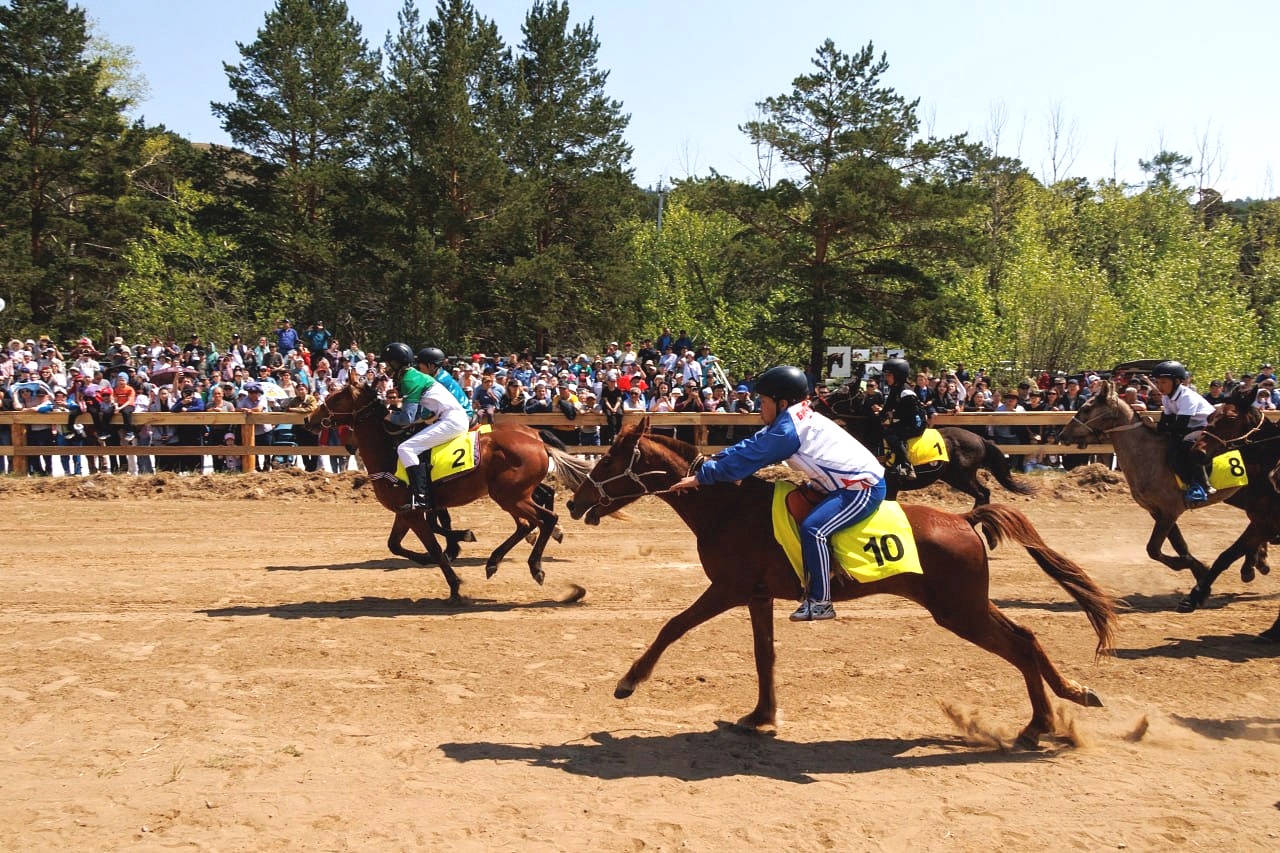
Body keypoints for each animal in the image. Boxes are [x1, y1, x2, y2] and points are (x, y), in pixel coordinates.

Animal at [565, 417, 1116, 742]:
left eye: (609, 459)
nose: (574, 501)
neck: (726, 506)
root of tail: (963, 519)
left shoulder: (728, 589)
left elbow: (672, 627)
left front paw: (629, 681)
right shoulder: (757, 597)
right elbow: (764, 656)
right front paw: (761, 716)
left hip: (959, 610)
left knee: (1019, 645)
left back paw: (1041, 722)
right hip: (967, 605)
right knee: (1026, 638)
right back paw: (1065, 702)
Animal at [814, 376, 1034, 502]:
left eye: (840, 393)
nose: (814, 402)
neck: (874, 442)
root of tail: (980, 439)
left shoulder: (890, 489)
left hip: (962, 477)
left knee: (982, 494)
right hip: (955, 476)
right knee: (984, 494)